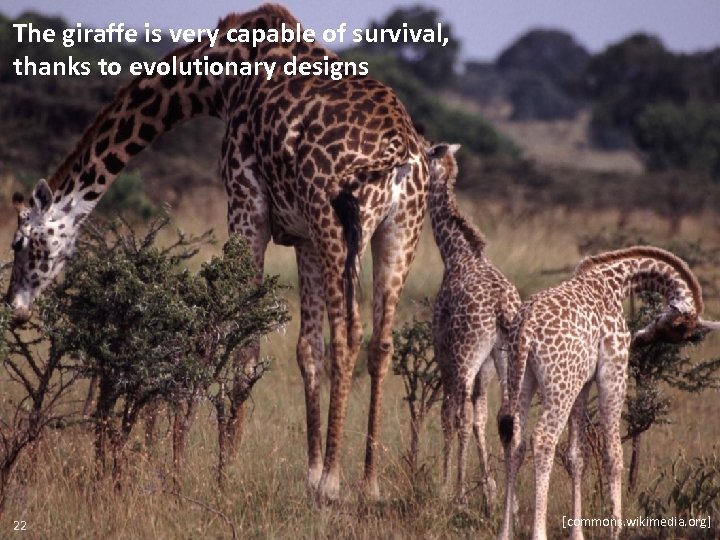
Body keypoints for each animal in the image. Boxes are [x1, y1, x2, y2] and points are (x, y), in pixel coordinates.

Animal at [4, 4, 429, 501]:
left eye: (21, 243)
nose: (14, 307)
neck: (218, 76)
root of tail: (399, 153)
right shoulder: (302, 235)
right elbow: (306, 349)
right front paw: (307, 472)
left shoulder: (246, 201)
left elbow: (243, 345)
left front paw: (225, 474)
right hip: (398, 232)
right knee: (381, 342)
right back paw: (368, 484)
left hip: (338, 226)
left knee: (349, 335)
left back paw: (335, 482)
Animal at [427, 143, 520, 509]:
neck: (456, 254)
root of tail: (501, 307)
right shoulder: (486, 365)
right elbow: (481, 418)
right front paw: (490, 490)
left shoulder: (446, 353)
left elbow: (450, 415)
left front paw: (445, 486)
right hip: (507, 357)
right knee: (507, 414)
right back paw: (511, 500)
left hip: (467, 355)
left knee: (461, 416)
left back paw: (457, 494)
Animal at [495, 246, 720, 540]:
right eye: (680, 327)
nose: (639, 339)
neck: (614, 283)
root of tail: (526, 326)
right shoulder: (612, 371)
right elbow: (613, 454)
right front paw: (615, 528)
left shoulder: (583, 382)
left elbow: (576, 456)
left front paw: (577, 533)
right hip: (559, 386)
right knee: (543, 438)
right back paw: (538, 533)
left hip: (522, 377)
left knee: (516, 441)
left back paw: (505, 532)